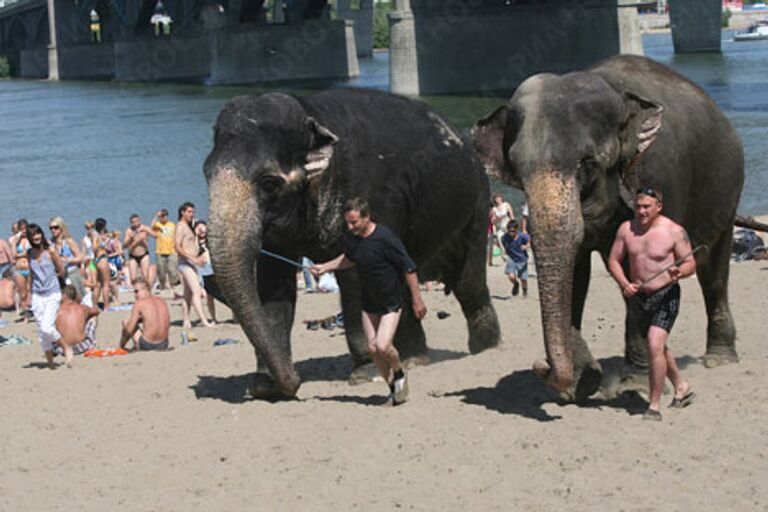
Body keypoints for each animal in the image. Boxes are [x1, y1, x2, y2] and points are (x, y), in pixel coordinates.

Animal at [206, 88, 504, 400]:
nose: (296, 382)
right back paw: (415, 359)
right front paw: (266, 387)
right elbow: (272, 284)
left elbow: (355, 277)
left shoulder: (372, 197)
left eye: (269, 183)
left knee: (468, 284)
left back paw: (484, 350)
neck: (310, 110)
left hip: (478, 206)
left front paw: (365, 374)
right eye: (205, 173)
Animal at [472, 56, 748, 400]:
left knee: (715, 270)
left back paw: (718, 359)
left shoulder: (662, 172)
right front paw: (581, 384)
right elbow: (576, 273)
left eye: (588, 165)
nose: (541, 365)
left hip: (729, 190)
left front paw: (632, 386)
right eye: (517, 170)